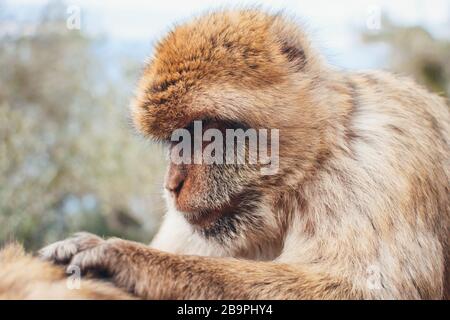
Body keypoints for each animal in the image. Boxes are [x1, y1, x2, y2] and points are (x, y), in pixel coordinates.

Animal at [39, 10, 450, 300]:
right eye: (175, 139)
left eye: (208, 134)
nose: (172, 185)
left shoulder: (375, 162)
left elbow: (359, 288)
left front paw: (127, 259)